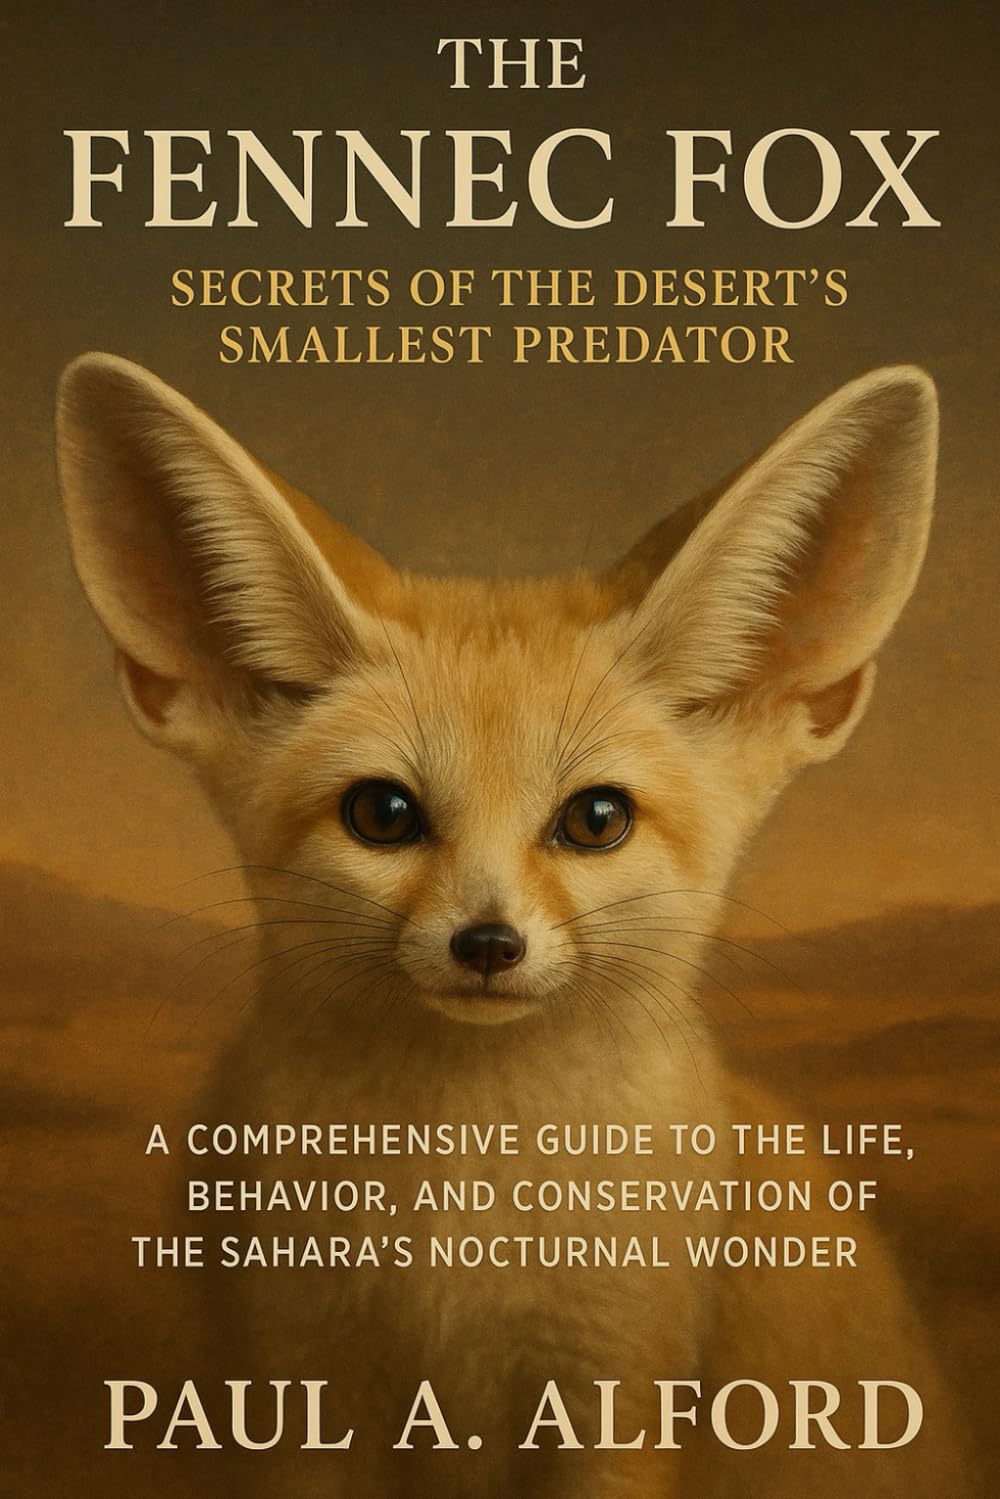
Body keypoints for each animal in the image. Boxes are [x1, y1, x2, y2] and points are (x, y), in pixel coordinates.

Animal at [56, 355, 972, 1497]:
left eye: (595, 818)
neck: (463, 1211)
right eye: (383, 813)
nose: (487, 944)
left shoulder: (614, 1393)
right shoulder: (301, 1387)